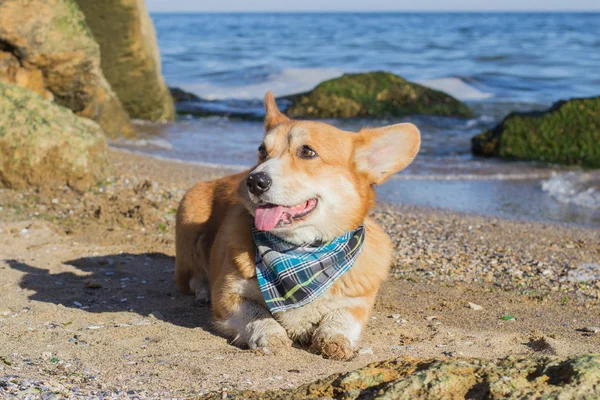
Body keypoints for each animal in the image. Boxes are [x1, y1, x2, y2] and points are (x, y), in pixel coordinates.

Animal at [176, 92, 422, 360]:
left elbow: (343, 317)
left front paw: (335, 339)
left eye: (307, 152)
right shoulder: (227, 295)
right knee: (191, 278)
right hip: (187, 226)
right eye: (262, 150)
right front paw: (270, 336)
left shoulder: (358, 302)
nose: (254, 181)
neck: (300, 251)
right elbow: (257, 314)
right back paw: (202, 291)